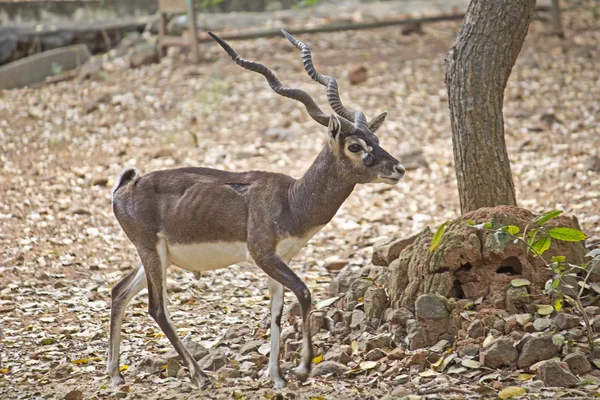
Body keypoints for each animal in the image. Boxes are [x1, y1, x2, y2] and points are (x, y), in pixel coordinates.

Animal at [107, 29, 406, 390]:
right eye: (355, 146)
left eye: (375, 138)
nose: (398, 168)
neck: (291, 200)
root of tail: (124, 187)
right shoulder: (263, 255)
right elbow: (304, 293)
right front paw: (302, 368)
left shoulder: (277, 259)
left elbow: (276, 313)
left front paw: (277, 377)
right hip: (151, 252)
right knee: (157, 308)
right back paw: (199, 375)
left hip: (154, 255)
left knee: (119, 292)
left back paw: (115, 375)